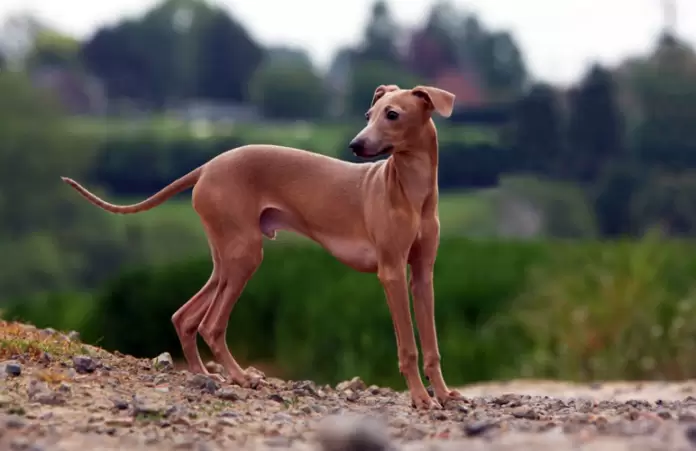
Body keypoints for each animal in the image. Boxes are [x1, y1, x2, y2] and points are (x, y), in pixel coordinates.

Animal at [61, 84, 462, 410]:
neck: (412, 193)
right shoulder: (390, 272)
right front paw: (420, 398)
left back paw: (203, 374)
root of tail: (207, 166)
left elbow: (431, 344)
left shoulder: (421, 275)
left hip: (227, 259)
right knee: (210, 325)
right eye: (369, 115)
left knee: (185, 317)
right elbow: (408, 346)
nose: (355, 144)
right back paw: (240, 377)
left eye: (391, 114)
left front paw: (443, 394)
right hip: (245, 255)